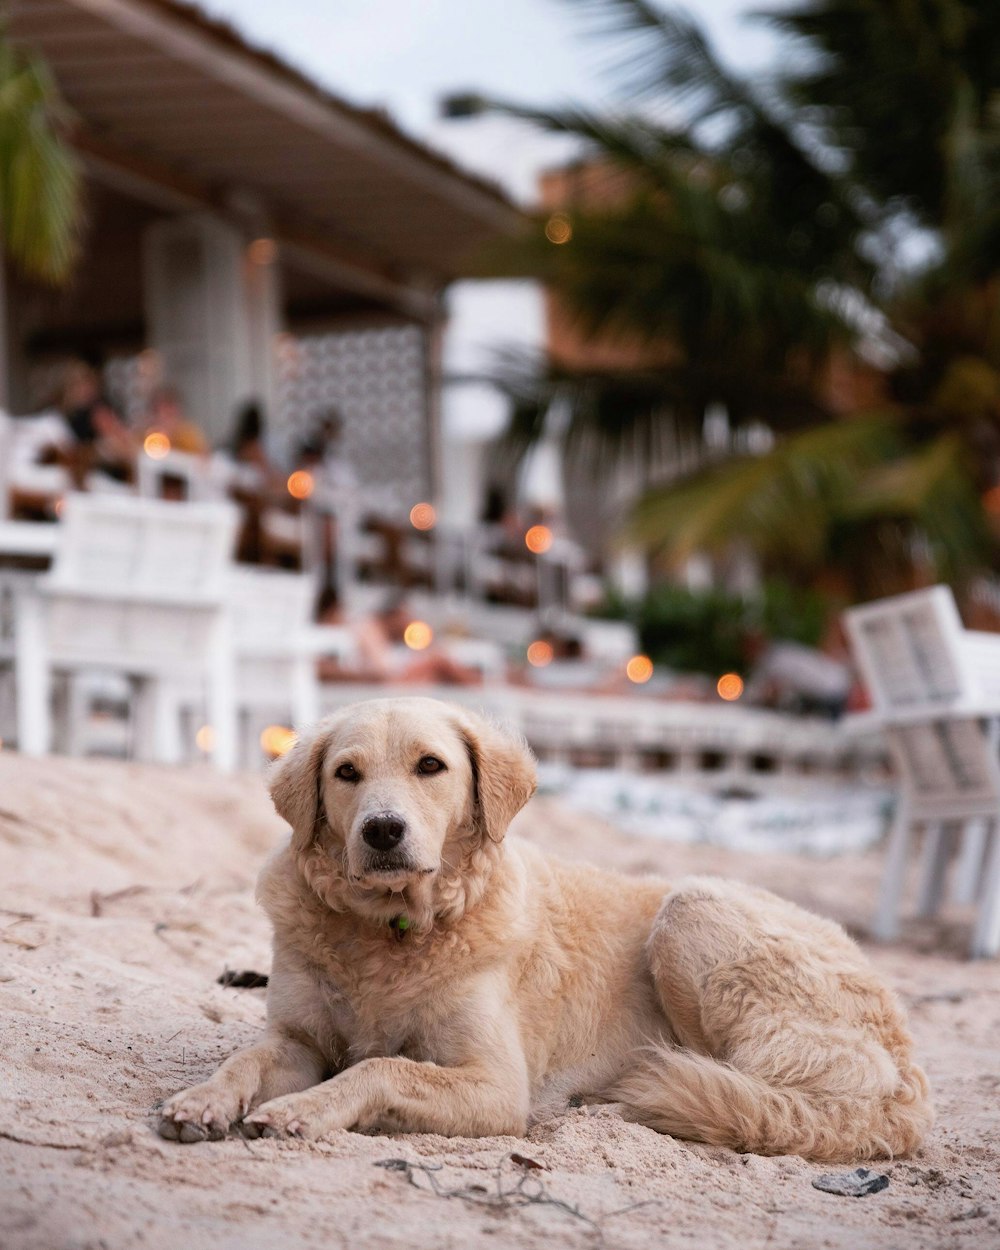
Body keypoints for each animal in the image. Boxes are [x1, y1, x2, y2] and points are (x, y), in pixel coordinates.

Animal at [160, 700, 935, 1155]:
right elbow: (246, 1060)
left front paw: (302, 1110)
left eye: (431, 766)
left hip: (694, 909)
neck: (391, 930)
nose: (382, 831)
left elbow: (381, 1066)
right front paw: (201, 1100)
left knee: (766, 1100)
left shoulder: (497, 1085)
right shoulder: (297, 1039)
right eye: (346, 772)